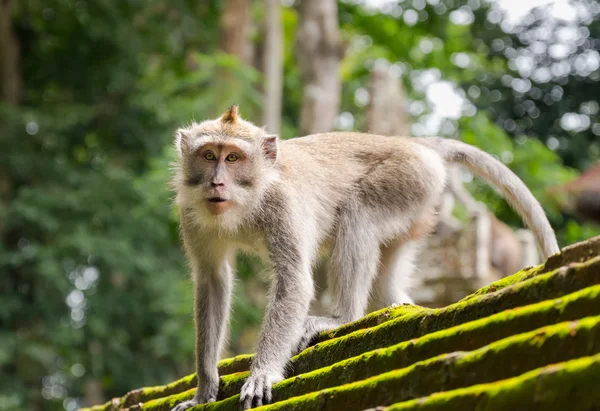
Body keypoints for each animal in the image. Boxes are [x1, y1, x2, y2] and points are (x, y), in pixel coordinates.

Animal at [168, 107, 556, 411]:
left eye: (233, 158)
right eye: (209, 156)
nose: (217, 183)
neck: (249, 197)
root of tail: (413, 144)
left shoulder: (281, 206)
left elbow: (294, 281)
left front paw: (262, 373)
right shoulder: (190, 213)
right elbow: (212, 281)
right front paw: (204, 390)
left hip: (407, 180)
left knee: (359, 212)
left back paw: (342, 318)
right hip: (417, 208)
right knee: (386, 271)